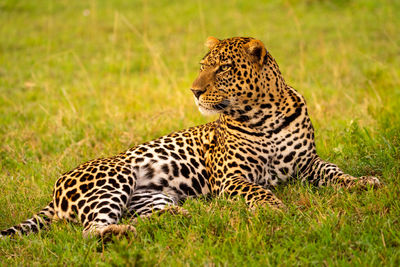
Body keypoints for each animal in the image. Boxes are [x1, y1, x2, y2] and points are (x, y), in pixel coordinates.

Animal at [0, 36, 382, 240]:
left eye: (223, 68)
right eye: (202, 65)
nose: (194, 91)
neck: (266, 114)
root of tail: (55, 189)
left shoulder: (308, 163)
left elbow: (335, 172)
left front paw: (364, 182)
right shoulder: (233, 178)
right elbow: (258, 190)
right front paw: (274, 207)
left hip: (151, 198)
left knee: (142, 217)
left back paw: (191, 216)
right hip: (115, 176)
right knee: (93, 228)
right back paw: (123, 234)